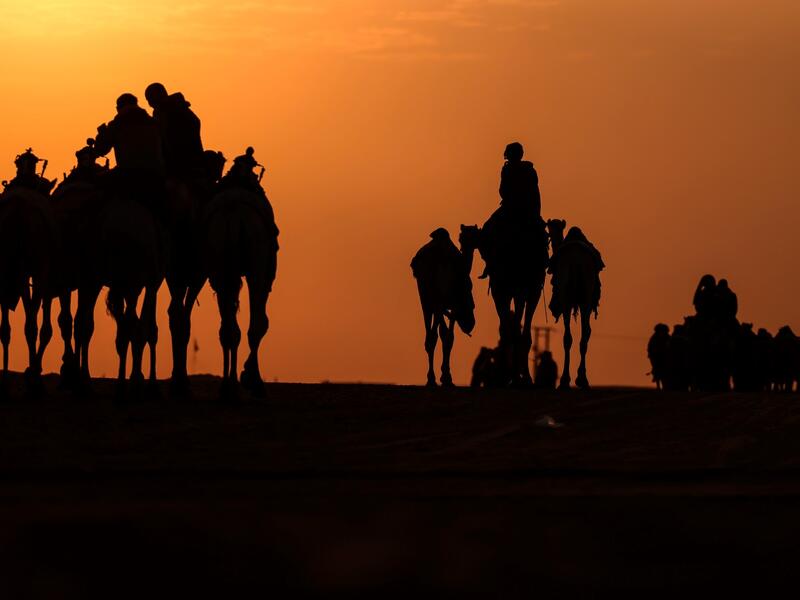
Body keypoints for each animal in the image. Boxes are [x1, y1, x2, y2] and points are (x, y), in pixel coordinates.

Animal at [0, 187, 60, 393]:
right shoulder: (44, 274)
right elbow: (45, 328)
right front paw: (33, 374)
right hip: (32, 269)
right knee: (31, 324)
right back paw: (34, 383)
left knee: (10, 328)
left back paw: (7, 384)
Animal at [201, 185, 278, 397]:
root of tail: (233, 215)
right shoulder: (262, 275)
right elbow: (262, 323)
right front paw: (249, 376)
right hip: (256, 266)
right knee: (256, 325)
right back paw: (254, 383)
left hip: (222, 270)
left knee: (228, 329)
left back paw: (228, 388)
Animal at [411, 228, 476, 387]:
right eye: (471, 305)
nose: (470, 324)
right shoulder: (452, 303)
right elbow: (447, 335)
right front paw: (446, 377)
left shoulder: (440, 303)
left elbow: (444, 335)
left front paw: (443, 376)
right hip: (432, 299)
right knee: (435, 335)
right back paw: (432, 378)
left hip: (427, 297)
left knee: (432, 336)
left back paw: (432, 378)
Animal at [458, 220, 548, 385]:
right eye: (460, 239)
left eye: (464, 239)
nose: (463, 255)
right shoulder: (501, 291)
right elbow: (506, 330)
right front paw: (508, 376)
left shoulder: (514, 291)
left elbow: (514, 330)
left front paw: (516, 377)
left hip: (530, 289)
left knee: (523, 330)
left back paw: (523, 376)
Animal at [546, 219, 604, 389]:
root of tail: (577, 262)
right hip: (586, 297)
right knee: (585, 333)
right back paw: (583, 379)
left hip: (566, 297)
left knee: (568, 337)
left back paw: (565, 380)